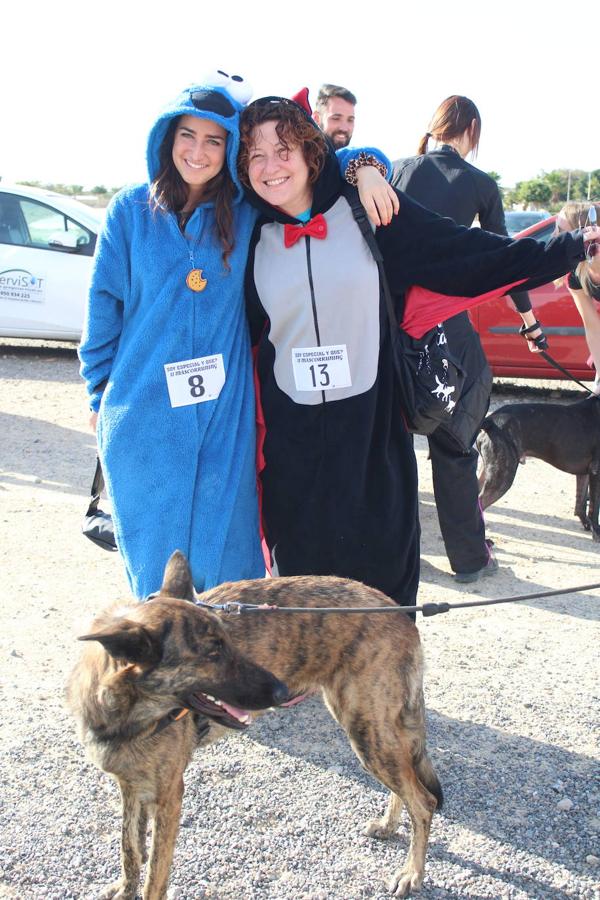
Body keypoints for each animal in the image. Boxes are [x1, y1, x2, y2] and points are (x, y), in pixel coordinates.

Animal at [68, 552, 442, 900]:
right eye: (212, 654)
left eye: (229, 642)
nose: (280, 691)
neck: (127, 714)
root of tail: (400, 612)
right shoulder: (130, 786)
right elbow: (130, 847)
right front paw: (125, 886)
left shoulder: (169, 797)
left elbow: (154, 878)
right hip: (377, 733)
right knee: (405, 785)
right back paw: (389, 824)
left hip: (366, 732)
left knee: (423, 802)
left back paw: (411, 872)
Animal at [478, 396, 600, 536]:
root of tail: (491, 420)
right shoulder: (596, 471)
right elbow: (594, 506)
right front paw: (596, 532)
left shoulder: (584, 474)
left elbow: (581, 503)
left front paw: (587, 525)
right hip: (502, 477)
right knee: (480, 502)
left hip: (488, 472)